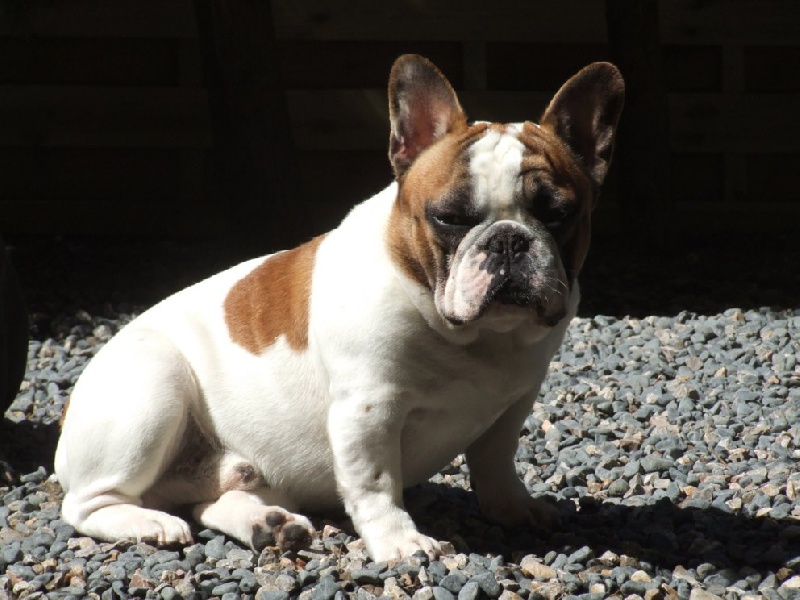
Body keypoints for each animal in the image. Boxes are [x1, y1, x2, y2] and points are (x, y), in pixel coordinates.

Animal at [55, 55, 624, 562]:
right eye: (450, 218)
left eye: (559, 213)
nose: (508, 239)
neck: (472, 335)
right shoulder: (368, 411)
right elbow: (376, 483)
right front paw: (400, 543)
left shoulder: (513, 402)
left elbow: (497, 462)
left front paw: (513, 509)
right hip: (155, 388)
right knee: (87, 505)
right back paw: (149, 524)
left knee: (209, 498)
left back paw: (267, 523)